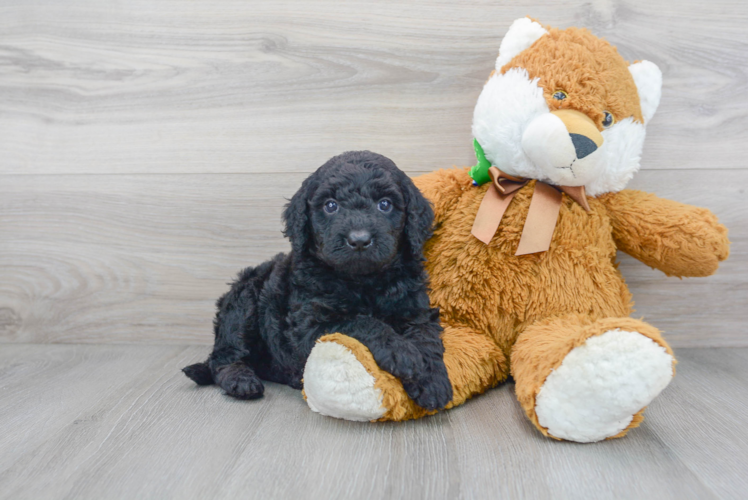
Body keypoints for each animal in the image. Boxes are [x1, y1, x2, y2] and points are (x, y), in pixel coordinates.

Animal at [184, 150, 452, 412]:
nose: (359, 239)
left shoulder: (415, 309)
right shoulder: (310, 325)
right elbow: (361, 322)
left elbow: (426, 336)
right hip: (244, 302)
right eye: (330, 206)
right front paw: (403, 353)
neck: (363, 281)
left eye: (384, 204)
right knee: (224, 357)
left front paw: (433, 380)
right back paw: (242, 380)